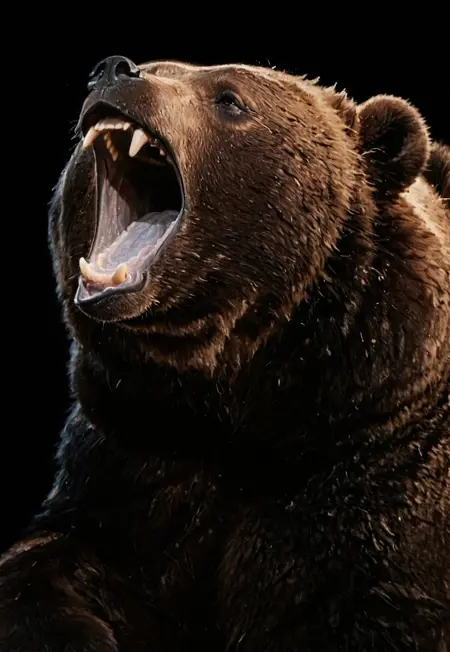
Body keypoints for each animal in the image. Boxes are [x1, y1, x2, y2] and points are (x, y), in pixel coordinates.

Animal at [0, 55, 449, 651]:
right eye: (155, 64)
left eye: (230, 99)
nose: (117, 70)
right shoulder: (127, 452)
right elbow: (47, 563)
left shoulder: (374, 475)